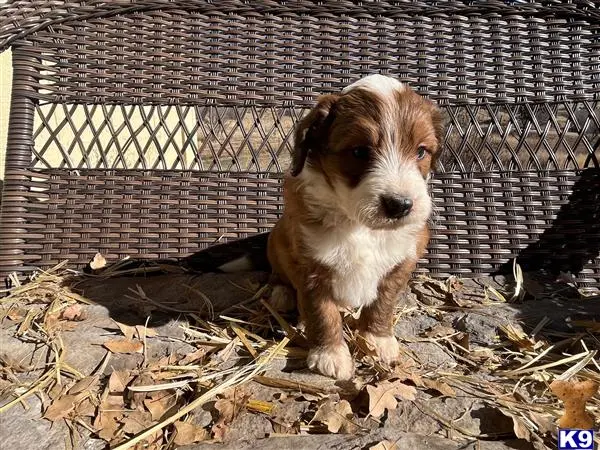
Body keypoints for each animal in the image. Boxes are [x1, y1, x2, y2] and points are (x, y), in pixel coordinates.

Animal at [268, 74, 446, 380]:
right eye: (360, 152)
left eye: (421, 151)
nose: (400, 205)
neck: (360, 226)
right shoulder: (311, 265)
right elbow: (322, 312)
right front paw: (330, 354)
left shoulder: (402, 259)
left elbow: (383, 303)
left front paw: (377, 341)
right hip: (276, 238)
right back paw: (280, 293)